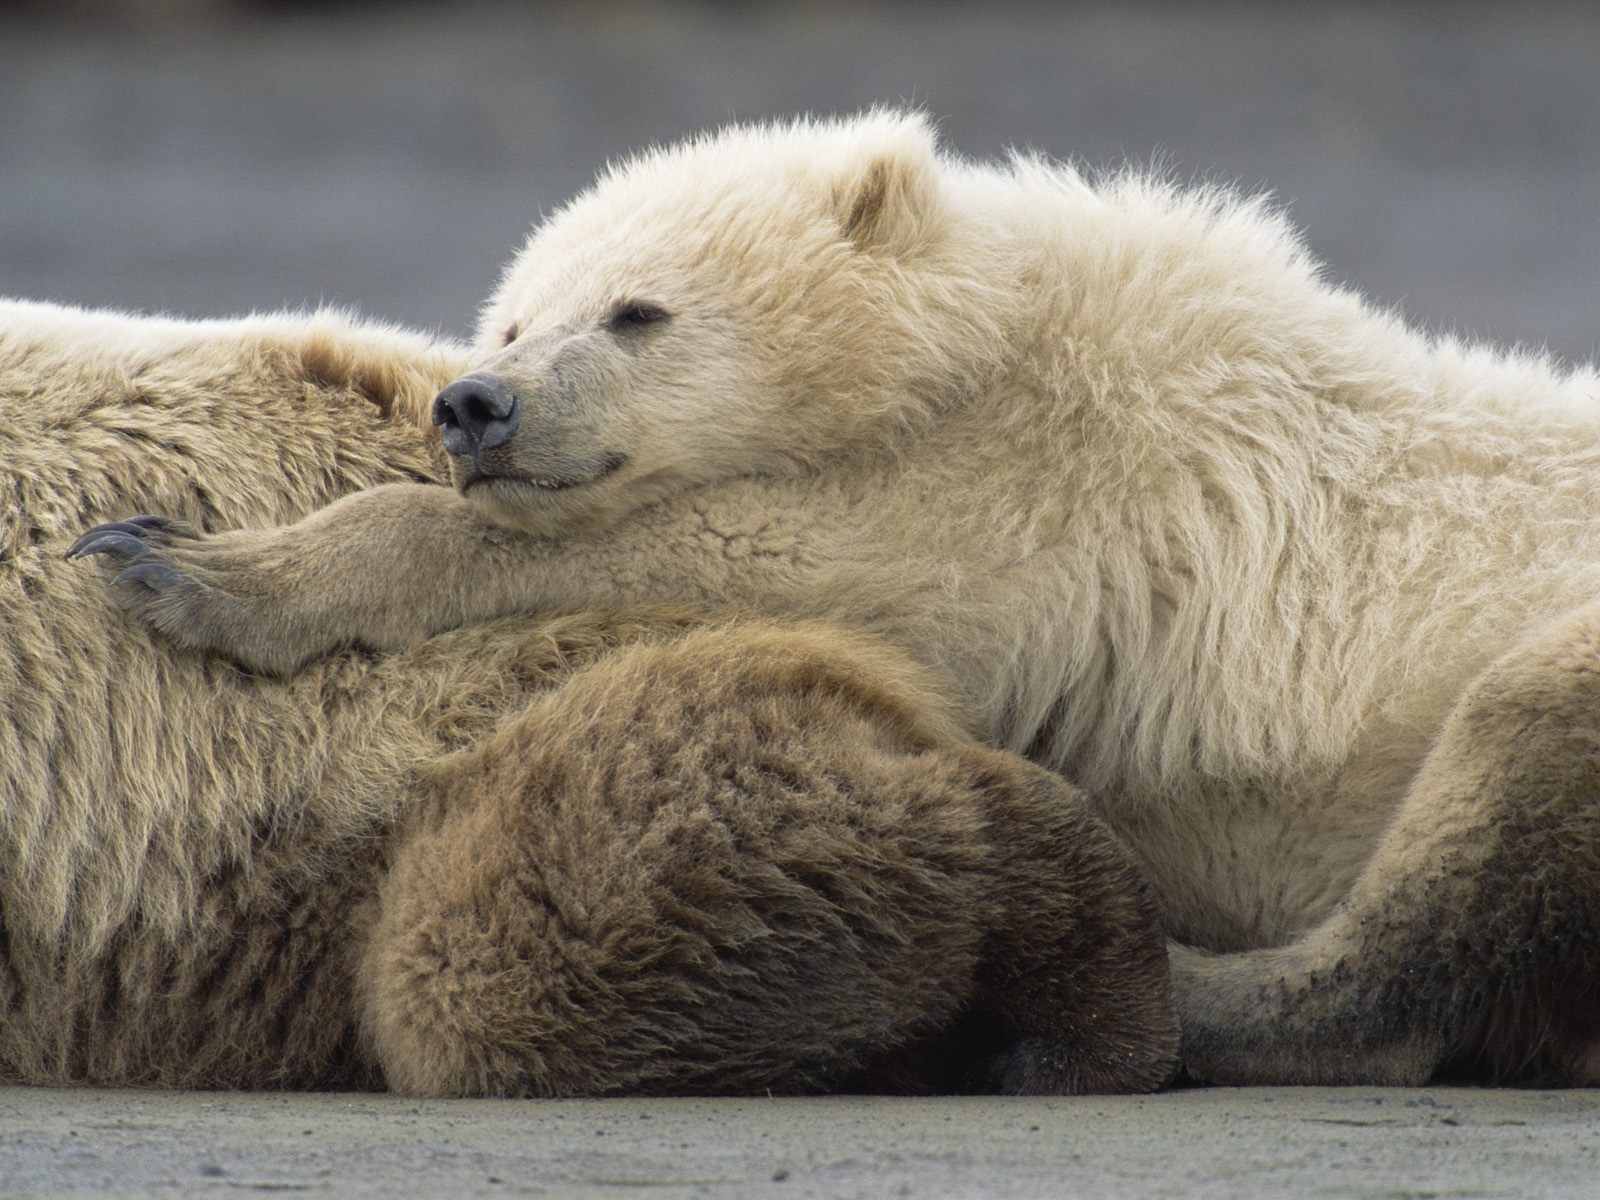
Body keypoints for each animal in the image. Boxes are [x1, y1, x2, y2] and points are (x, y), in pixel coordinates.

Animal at [81, 112, 1600, 1088]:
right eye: (513, 317)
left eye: (637, 311)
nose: (475, 406)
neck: (984, 337)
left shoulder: (1054, 494)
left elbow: (758, 559)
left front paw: (191, 567)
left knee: (1495, 766)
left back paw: (1185, 997)